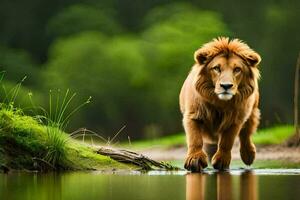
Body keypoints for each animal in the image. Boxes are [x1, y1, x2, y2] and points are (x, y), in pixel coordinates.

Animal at [179, 38, 262, 172]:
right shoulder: (193, 115)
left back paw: (248, 155)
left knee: (246, 133)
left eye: (237, 69)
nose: (226, 86)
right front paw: (194, 160)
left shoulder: (235, 120)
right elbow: (195, 139)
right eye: (217, 68)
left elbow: (227, 141)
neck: (220, 103)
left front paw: (222, 161)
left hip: (253, 111)